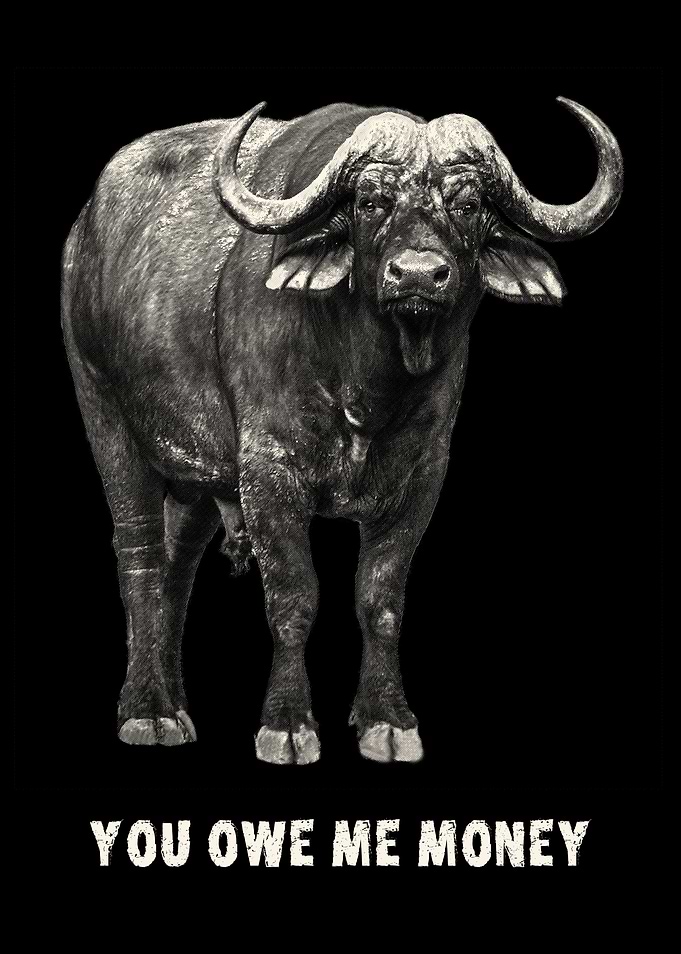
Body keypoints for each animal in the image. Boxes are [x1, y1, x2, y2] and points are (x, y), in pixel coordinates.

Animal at [61, 98, 622, 764]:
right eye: (370, 203)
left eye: (467, 205)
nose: (417, 276)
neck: (366, 385)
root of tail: (84, 232)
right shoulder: (268, 471)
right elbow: (294, 597)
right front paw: (287, 723)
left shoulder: (422, 476)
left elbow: (380, 599)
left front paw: (387, 719)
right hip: (105, 414)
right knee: (141, 557)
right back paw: (146, 710)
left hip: (199, 473)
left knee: (177, 565)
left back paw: (172, 702)